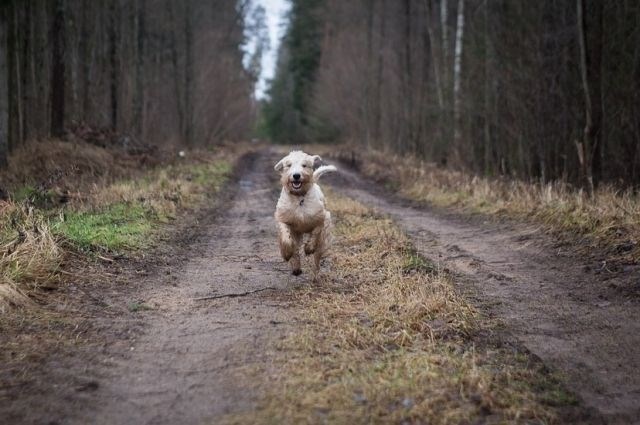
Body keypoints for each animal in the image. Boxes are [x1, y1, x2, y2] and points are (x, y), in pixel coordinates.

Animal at [274, 150, 338, 278]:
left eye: (304, 165)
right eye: (289, 165)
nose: (296, 175)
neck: (299, 198)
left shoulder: (322, 218)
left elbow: (316, 232)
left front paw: (309, 248)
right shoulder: (283, 219)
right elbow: (286, 237)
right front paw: (287, 253)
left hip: (323, 240)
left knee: (317, 256)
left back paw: (315, 274)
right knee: (296, 249)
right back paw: (296, 268)